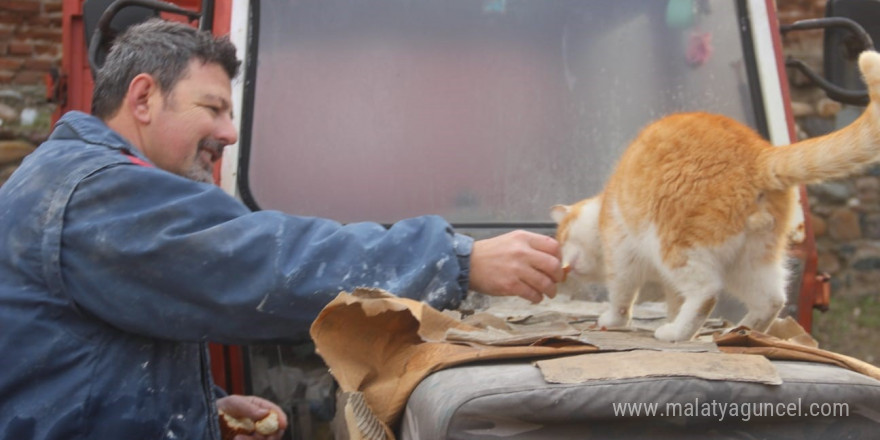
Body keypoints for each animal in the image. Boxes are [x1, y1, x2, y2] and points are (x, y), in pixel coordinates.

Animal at [552, 49, 880, 342]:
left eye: (562, 238)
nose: (561, 262)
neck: (602, 209)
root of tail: (759, 155)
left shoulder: (622, 257)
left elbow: (621, 298)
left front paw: (613, 320)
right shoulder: (669, 284)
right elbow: (674, 303)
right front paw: (675, 319)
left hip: (677, 247)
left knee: (706, 293)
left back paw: (676, 334)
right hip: (751, 261)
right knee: (772, 300)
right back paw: (739, 331)